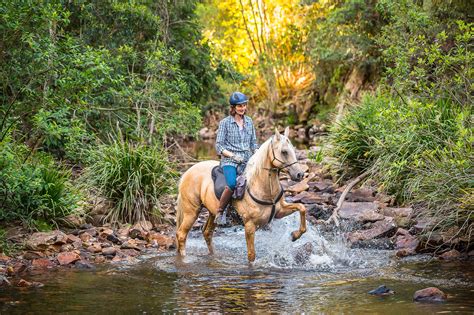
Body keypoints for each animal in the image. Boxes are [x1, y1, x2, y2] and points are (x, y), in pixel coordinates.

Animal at [175, 127, 308, 262]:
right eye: (284, 152)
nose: (300, 174)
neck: (262, 189)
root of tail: (187, 172)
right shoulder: (249, 225)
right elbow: (251, 255)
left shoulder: (280, 211)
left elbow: (301, 208)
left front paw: (295, 235)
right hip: (191, 211)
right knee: (181, 235)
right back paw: (184, 259)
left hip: (212, 212)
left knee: (207, 233)